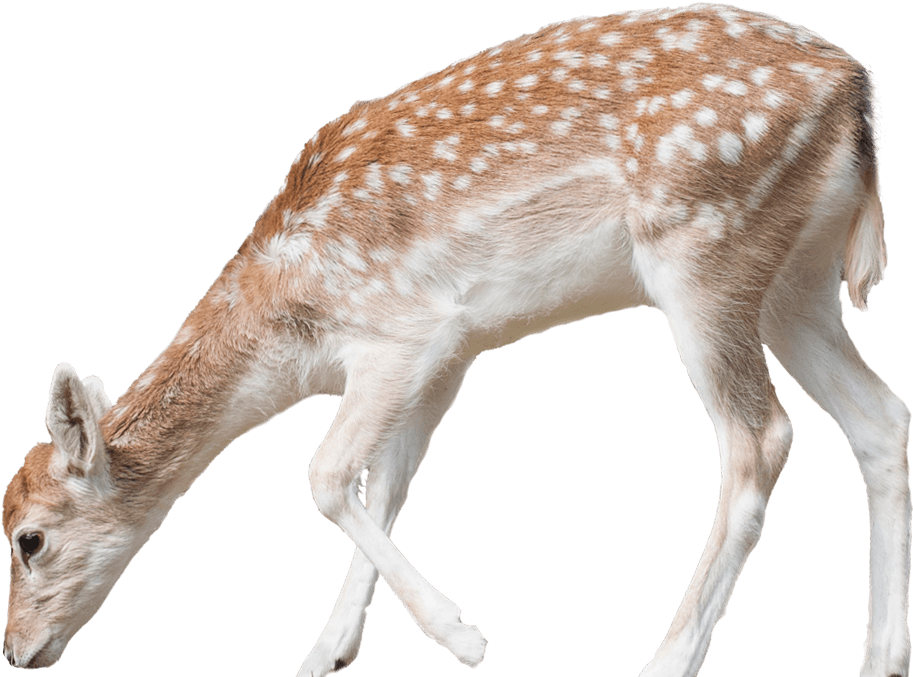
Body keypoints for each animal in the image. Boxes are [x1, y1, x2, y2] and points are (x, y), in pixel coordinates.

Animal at [3, 3, 909, 676]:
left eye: (28, 537)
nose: (14, 652)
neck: (286, 332)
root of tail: (855, 90)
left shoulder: (403, 331)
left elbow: (324, 475)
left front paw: (464, 635)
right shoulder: (446, 359)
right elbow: (385, 488)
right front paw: (326, 654)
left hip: (703, 251)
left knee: (759, 438)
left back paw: (669, 658)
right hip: (796, 283)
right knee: (881, 416)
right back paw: (882, 656)